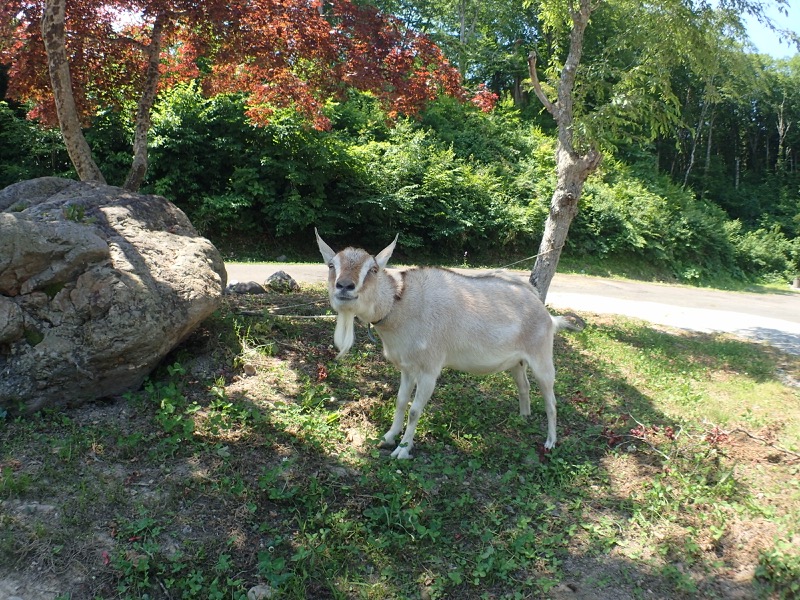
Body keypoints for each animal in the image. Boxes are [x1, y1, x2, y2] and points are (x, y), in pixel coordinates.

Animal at [316, 230, 584, 460]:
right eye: (331, 265)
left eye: (372, 269)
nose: (345, 286)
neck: (400, 305)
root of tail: (548, 316)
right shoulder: (407, 366)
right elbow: (401, 401)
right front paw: (389, 437)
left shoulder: (429, 368)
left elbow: (415, 410)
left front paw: (403, 449)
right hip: (517, 362)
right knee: (524, 386)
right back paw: (522, 418)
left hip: (542, 355)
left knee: (551, 401)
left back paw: (550, 442)